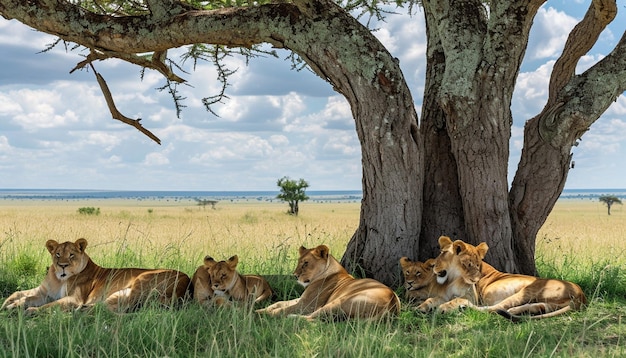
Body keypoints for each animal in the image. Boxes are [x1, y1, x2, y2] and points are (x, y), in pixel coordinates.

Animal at [1, 238, 190, 314]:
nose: (62, 266)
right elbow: (22, 295)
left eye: (71, 255)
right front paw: (9, 304)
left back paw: (77, 311)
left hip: (141, 280)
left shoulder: (74, 298)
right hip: (119, 293)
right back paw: (82, 310)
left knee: (122, 308)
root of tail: (185, 280)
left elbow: (50, 305)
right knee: (106, 307)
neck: (59, 279)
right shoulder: (43, 292)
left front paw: (31, 310)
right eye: (58, 254)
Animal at [255, 245, 398, 320]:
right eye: (299, 261)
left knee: (311, 318)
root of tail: (392, 304)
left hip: (339, 301)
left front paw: (264, 313)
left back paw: (292, 317)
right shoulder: (302, 299)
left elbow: (283, 309)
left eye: (306, 263)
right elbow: (279, 303)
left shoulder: (307, 305)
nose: (295, 276)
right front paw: (264, 308)